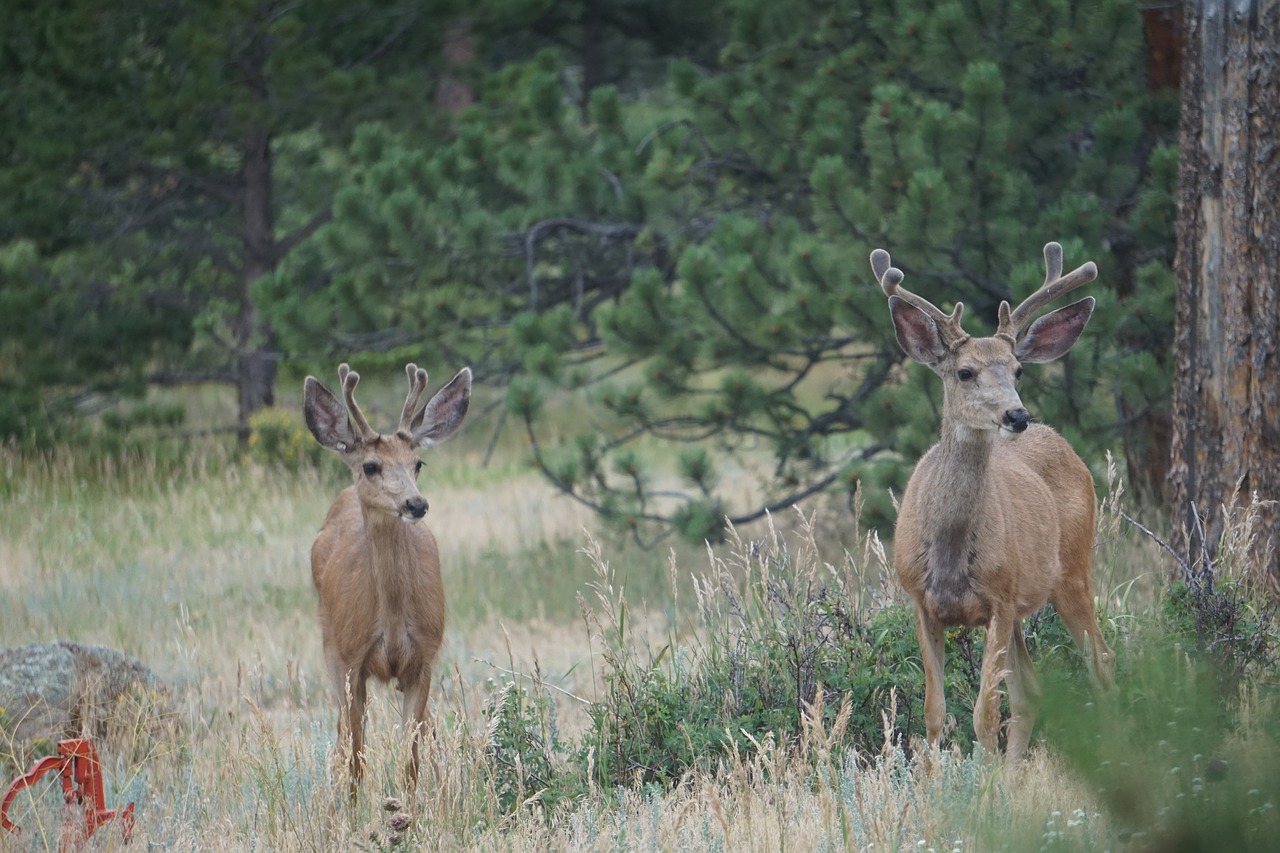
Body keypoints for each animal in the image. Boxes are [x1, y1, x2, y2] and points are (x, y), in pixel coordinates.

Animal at [302, 358, 473, 783]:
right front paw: (353, 802)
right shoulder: (351, 661)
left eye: (418, 463)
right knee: (341, 735)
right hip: (329, 644)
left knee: (428, 729)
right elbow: (356, 757)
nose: (416, 504)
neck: (392, 624)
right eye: (371, 465)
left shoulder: (423, 659)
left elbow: (410, 759)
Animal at [875, 239, 1116, 758]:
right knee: (1032, 690)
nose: (1017, 414)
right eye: (965, 372)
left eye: (1018, 369)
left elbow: (984, 715)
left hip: (1072, 568)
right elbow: (934, 712)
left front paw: (980, 778)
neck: (948, 549)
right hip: (1025, 604)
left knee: (1100, 661)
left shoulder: (999, 601)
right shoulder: (920, 600)